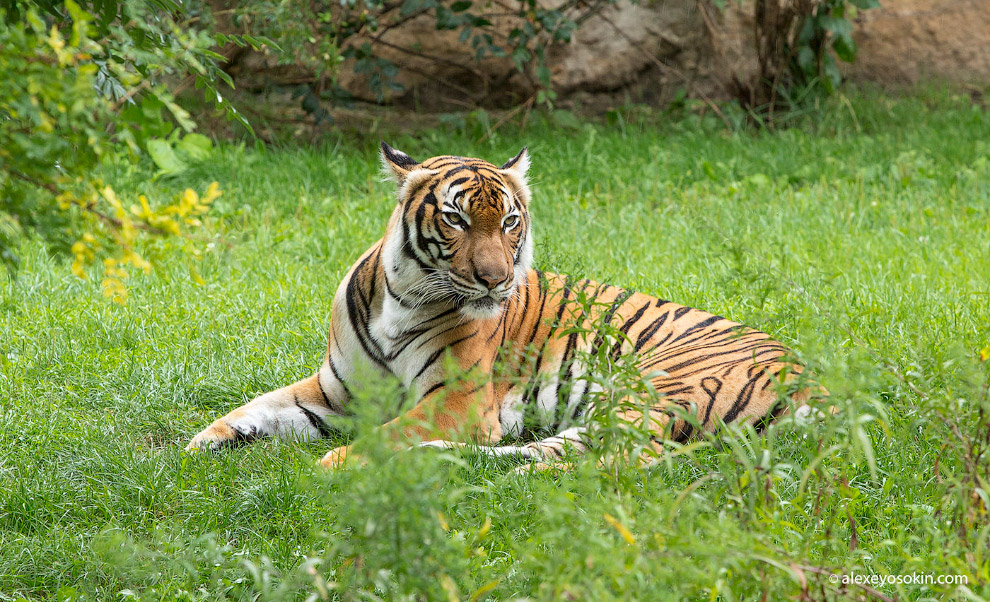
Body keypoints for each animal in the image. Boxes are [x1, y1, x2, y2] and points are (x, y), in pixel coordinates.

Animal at [186, 143, 820, 466]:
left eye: (511, 222)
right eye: (456, 218)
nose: (495, 281)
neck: (401, 299)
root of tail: (816, 379)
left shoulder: (458, 400)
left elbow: (386, 434)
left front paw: (338, 463)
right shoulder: (338, 392)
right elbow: (259, 406)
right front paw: (204, 442)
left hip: (653, 391)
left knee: (582, 462)